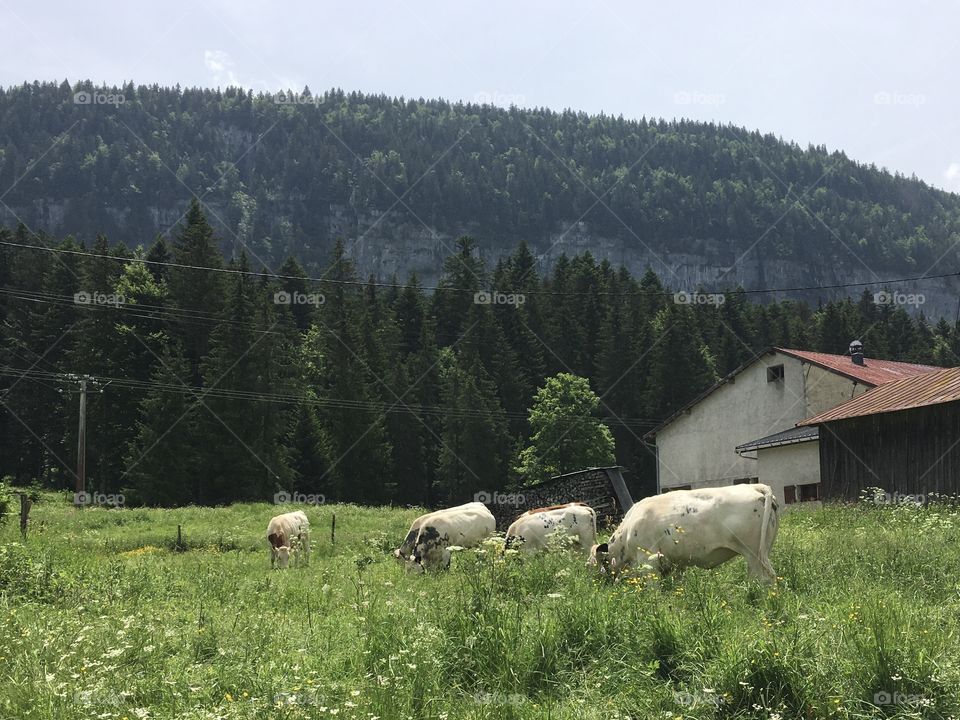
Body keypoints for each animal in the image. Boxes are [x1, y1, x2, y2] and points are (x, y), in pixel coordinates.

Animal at [590, 484, 779, 583]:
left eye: (596, 563)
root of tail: (754, 486)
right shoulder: (676, 563)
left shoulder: (648, 561)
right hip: (763, 551)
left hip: (753, 554)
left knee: (764, 579)